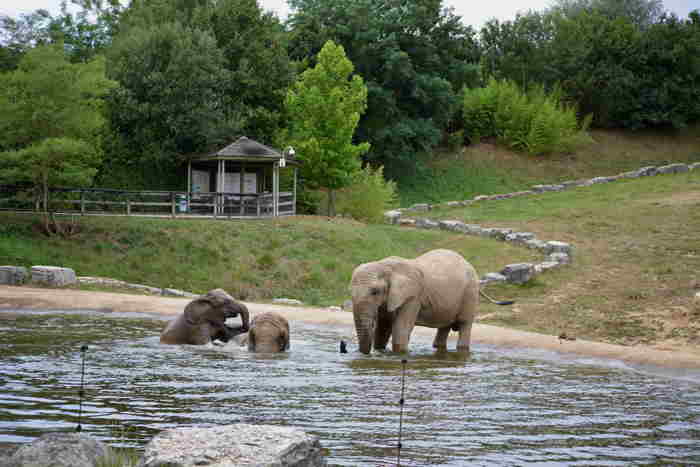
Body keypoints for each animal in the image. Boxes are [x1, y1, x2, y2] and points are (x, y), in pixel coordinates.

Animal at [350, 249, 508, 354]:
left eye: (375, 292)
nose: (364, 354)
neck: (385, 265)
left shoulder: (413, 296)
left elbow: (401, 328)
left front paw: (400, 353)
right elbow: (383, 328)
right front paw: (379, 352)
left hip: (470, 292)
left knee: (464, 324)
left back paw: (462, 349)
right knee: (444, 327)